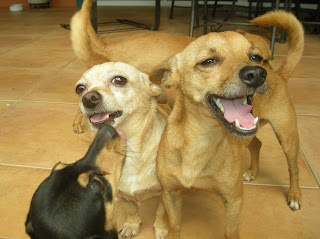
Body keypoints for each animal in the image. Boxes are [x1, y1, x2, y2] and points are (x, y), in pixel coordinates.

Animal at [75, 61, 171, 237]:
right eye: (80, 88)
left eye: (119, 80)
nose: (88, 98)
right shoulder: (122, 195)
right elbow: (131, 209)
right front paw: (131, 225)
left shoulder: (166, 193)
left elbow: (161, 213)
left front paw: (161, 229)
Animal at [151, 10, 304, 239]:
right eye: (208, 61)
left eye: (254, 57)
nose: (257, 73)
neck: (202, 140)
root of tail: (277, 72)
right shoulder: (171, 193)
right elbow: (175, 226)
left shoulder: (234, 201)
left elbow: (231, 233)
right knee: (256, 143)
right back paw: (253, 171)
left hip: (288, 137)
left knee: (293, 168)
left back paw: (294, 195)